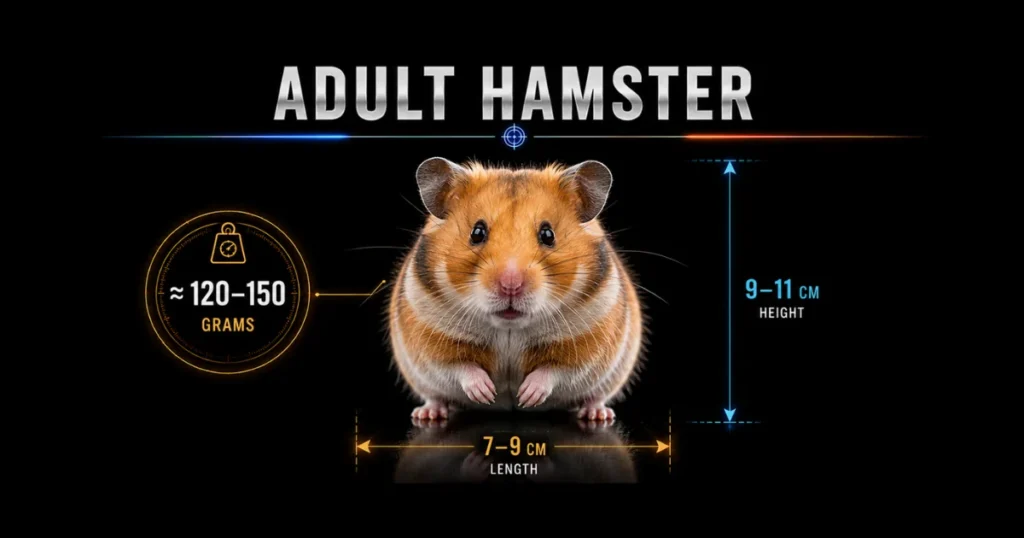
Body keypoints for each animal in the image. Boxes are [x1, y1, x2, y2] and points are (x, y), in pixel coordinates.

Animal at [388, 157, 645, 421]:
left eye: (548, 234)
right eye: (477, 232)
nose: (510, 285)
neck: (509, 326)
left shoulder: (587, 344)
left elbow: (555, 369)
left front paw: (526, 396)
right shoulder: (430, 339)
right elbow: (460, 366)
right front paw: (486, 393)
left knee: (594, 396)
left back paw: (597, 414)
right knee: (436, 395)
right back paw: (428, 413)